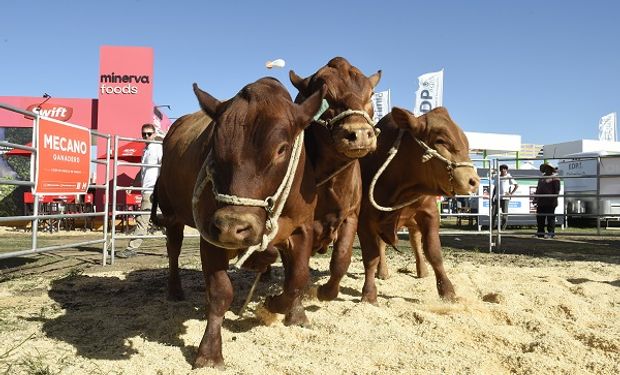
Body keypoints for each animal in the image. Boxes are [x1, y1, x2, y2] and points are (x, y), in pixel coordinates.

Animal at [151, 78, 324, 368]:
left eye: (282, 149)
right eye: (214, 147)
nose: (233, 226)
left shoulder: (303, 227)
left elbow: (297, 278)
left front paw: (281, 308)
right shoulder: (211, 234)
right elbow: (221, 292)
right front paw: (209, 352)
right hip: (171, 211)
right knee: (173, 249)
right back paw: (174, 290)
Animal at [288, 57, 380, 302]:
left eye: (371, 95)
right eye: (326, 96)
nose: (360, 133)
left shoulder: (351, 215)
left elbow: (342, 258)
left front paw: (325, 291)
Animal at [358, 106, 480, 306]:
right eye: (441, 140)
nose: (474, 181)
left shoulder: (429, 213)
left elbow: (433, 252)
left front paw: (447, 291)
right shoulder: (364, 220)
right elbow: (370, 257)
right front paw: (368, 294)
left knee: (415, 241)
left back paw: (422, 271)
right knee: (382, 246)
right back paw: (383, 272)